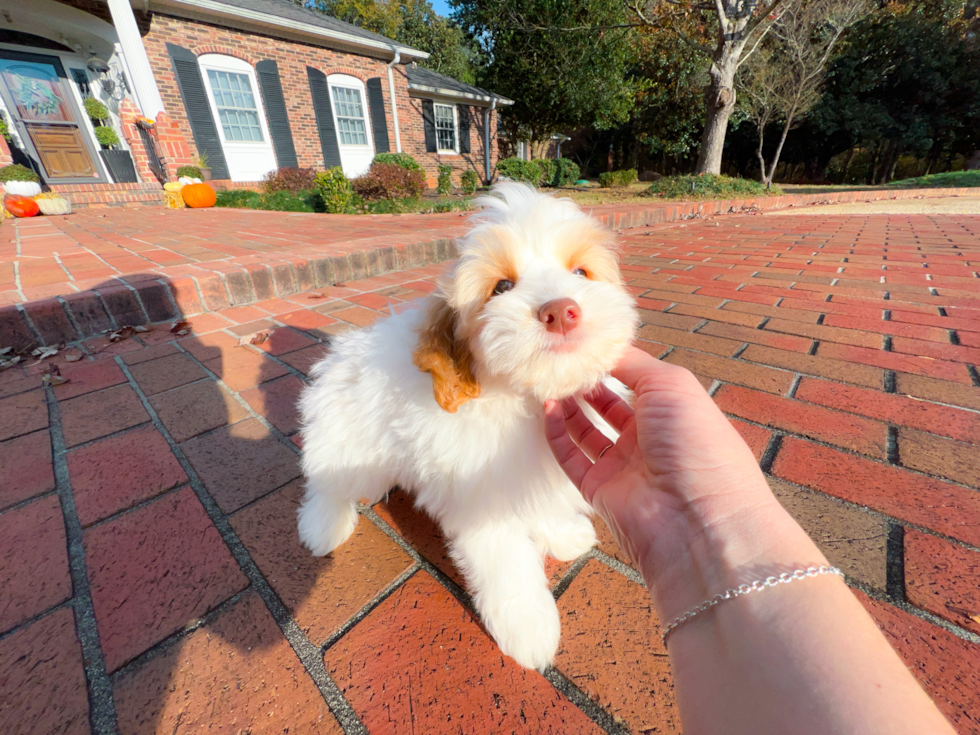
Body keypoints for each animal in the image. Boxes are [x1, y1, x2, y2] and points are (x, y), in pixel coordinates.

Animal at [294, 181, 640, 668]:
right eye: (501, 287)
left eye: (581, 272)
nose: (562, 311)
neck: (519, 396)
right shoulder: (479, 499)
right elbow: (506, 562)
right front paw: (528, 626)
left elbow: (543, 504)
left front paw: (562, 533)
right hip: (348, 441)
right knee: (326, 483)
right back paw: (323, 527)